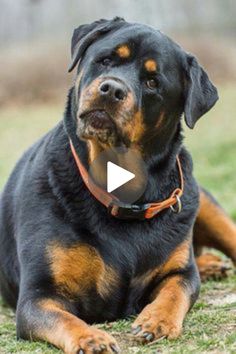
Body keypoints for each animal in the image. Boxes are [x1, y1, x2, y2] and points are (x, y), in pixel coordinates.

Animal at [0, 17, 236, 354]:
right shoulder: (38, 295)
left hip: (204, 202)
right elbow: (64, 318)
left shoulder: (181, 272)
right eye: (105, 60)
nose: (111, 88)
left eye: (152, 82)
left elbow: (176, 289)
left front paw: (156, 321)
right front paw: (91, 338)